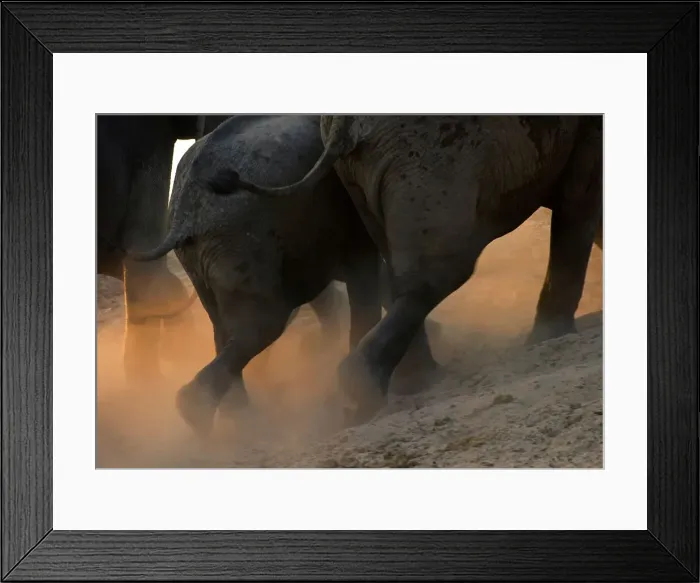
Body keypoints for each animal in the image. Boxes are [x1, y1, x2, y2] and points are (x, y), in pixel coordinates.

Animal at [215, 115, 604, 427]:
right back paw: (363, 393)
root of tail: (341, 121)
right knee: (442, 268)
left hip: (369, 168)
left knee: (398, 264)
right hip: (434, 152)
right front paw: (554, 337)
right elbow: (579, 201)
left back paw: (411, 383)